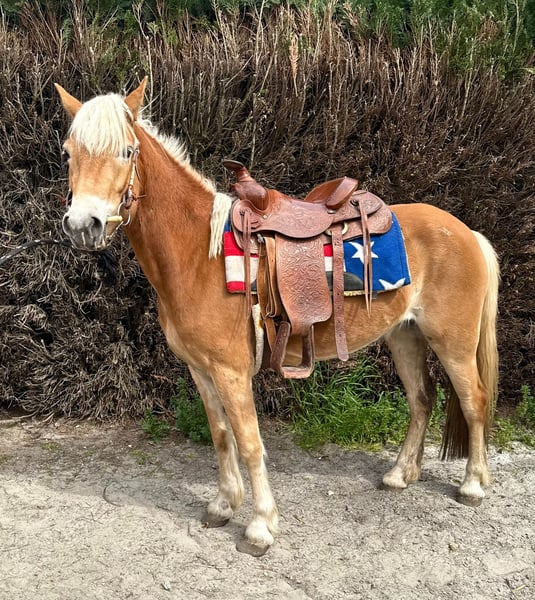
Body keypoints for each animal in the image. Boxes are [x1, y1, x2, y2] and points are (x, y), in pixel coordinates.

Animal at [55, 78, 499, 556]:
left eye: (126, 152)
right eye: (68, 152)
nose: (83, 225)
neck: (198, 254)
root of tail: (467, 232)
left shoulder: (231, 372)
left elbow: (250, 444)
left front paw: (260, 527)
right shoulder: (200, 370)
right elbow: (221, 435)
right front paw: (223, 506)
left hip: (453, 342)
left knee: (473, 400)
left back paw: (473, 486)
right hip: (405, 336)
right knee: (421, 399)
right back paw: (400, 474)